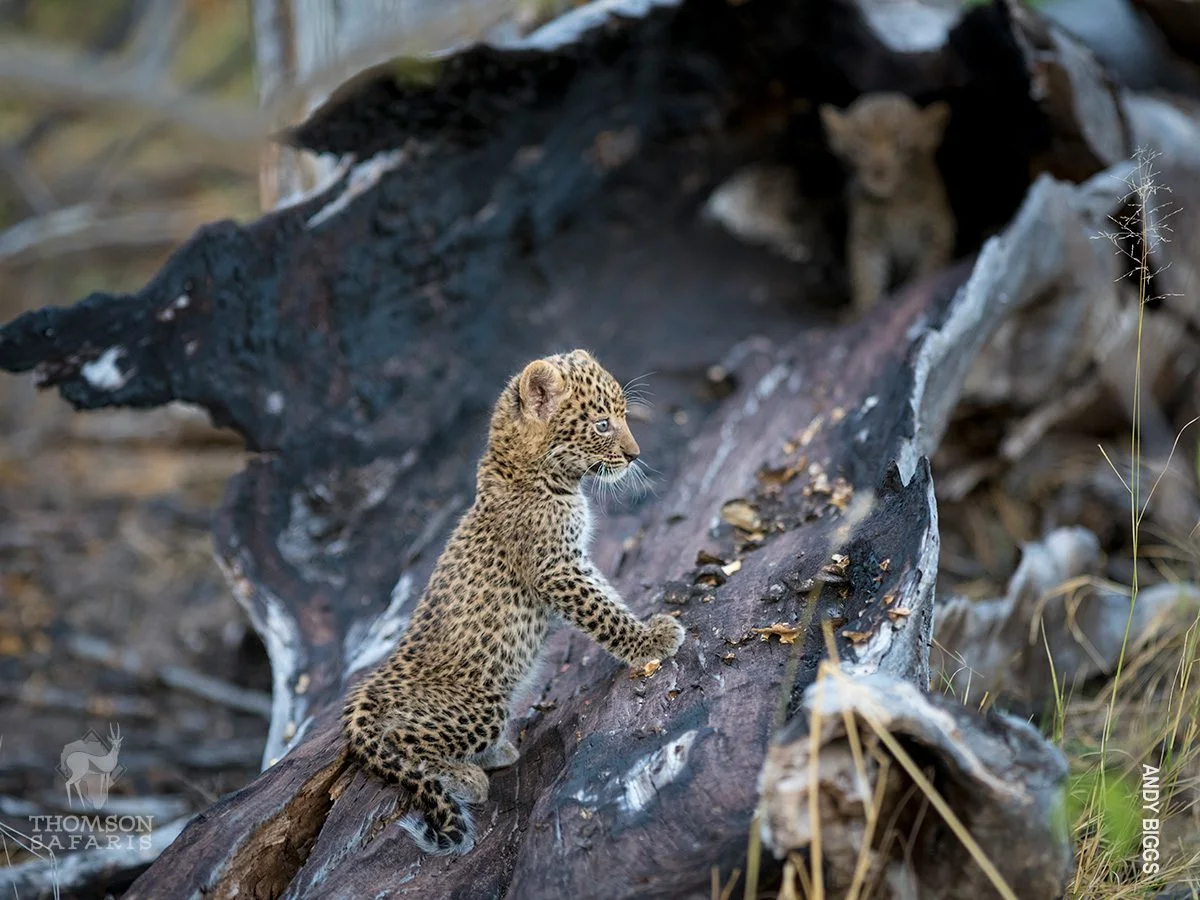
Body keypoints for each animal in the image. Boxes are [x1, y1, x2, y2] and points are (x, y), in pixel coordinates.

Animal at [342, 349, 686, 855]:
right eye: (603, 424)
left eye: (625, 415)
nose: (635, 455)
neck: (536, 473)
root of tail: (371, 686)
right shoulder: (557, 569)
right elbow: (602, 612)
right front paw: (651, 642)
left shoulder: (575, 560)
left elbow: (608, 594)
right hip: (478, 706)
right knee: (402, 742)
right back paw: (467, 776)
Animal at [819, 92, 955, 313]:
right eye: (859, 149)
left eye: (901, 145)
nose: (879, 172)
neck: (895, 204)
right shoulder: (868, 236)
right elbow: (866, 273)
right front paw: (864, 308)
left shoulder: (938, 231)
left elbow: (927, 268)